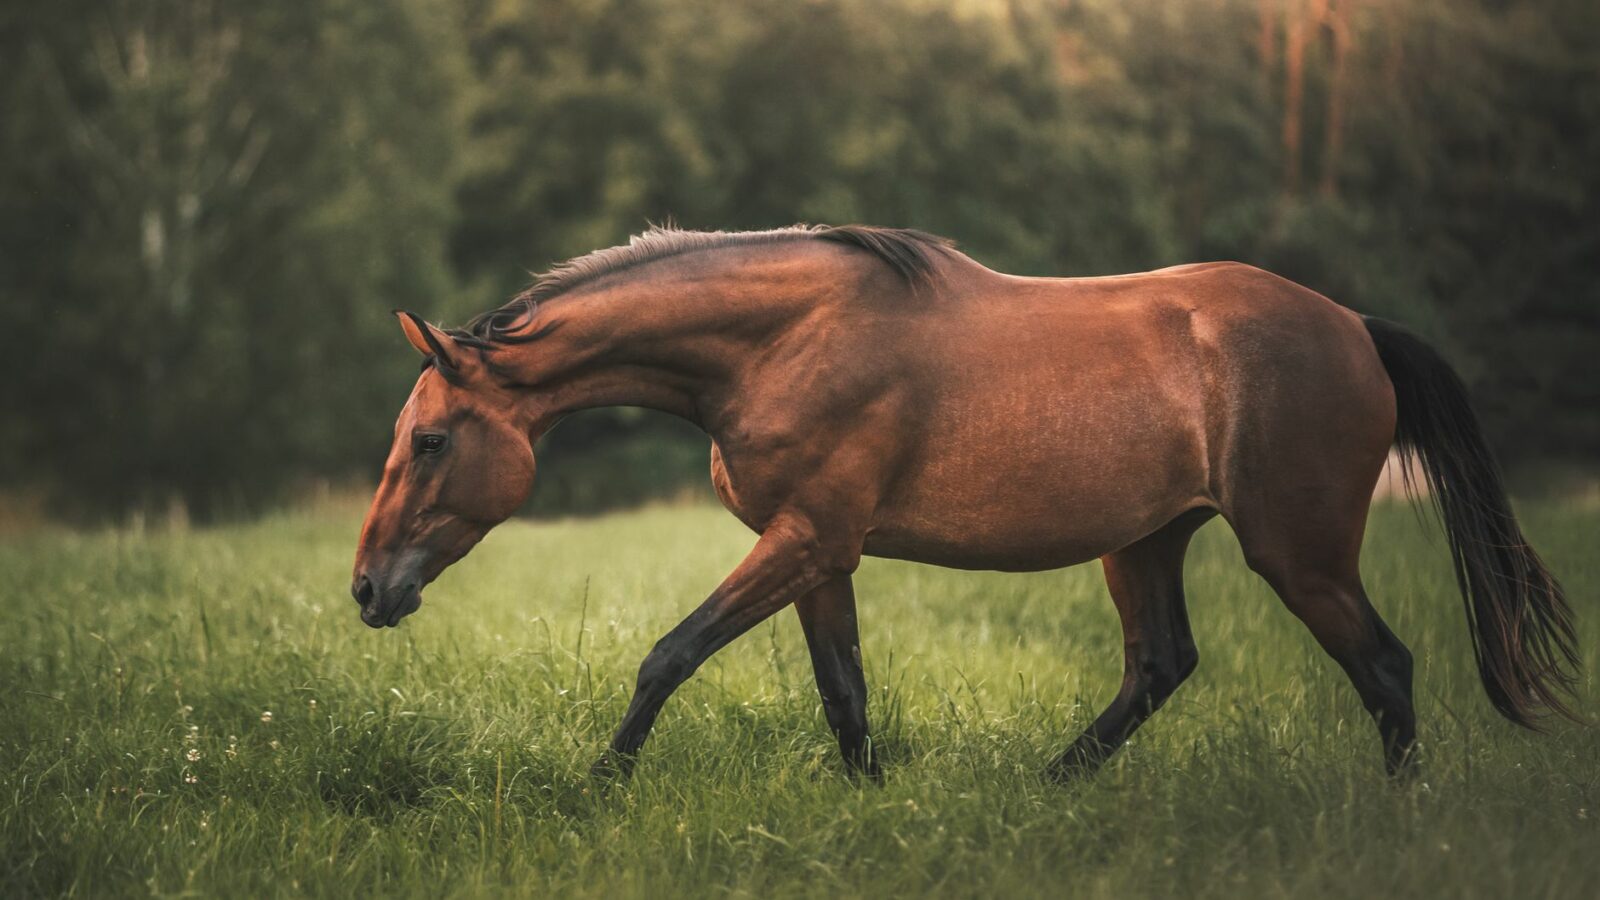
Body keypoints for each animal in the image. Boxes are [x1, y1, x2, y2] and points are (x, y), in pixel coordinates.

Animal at [351, 224, 1578, 780]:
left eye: (430, 438)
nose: (367, 590)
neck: (782, 343)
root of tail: (1355, 328)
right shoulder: (820, 552)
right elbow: (843, 694)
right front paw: (870, 802)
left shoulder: (804, 539)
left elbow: (668, 654)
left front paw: (602, 783)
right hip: (1146, 541)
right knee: (1160, 665)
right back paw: (1050, 785)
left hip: (1298, 552)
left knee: (1386, 669)